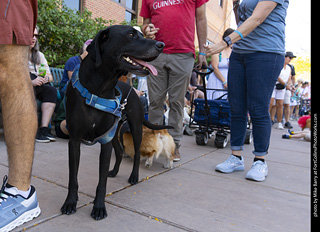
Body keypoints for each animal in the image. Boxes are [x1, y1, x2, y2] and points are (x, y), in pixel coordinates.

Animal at [61, 24, 164, 219]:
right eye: (131, 34)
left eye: (141, 34)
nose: (161, 44)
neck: (98, 89)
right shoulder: (75, 141)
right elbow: (72, 177)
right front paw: (70, 202)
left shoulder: (105, 142)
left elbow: (101, 182)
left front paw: (99, 207)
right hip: (115, 133)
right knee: (119, 151)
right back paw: (115, 171)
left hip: (135, 128)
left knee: (136, 153)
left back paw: (134, 177)